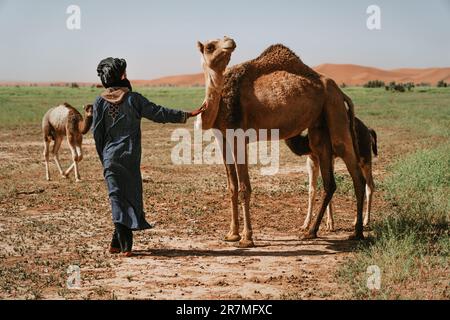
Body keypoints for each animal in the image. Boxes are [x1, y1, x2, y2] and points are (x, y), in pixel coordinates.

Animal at [197, 37, 366, 248]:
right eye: (210, 46)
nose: (230, 41)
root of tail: (341, 92)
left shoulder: (239, 136)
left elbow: (244, 188)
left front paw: (246, 238)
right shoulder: (222, 138)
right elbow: (232, 187)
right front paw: (231, 234)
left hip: (334, 108)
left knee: (354, 170)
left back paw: (357, 232)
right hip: (320, 127)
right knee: (330, 182)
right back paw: (311, 231)